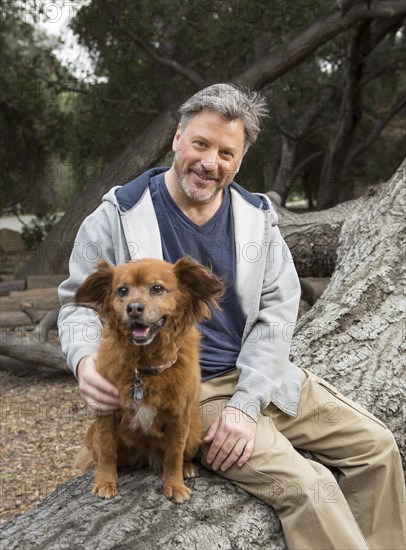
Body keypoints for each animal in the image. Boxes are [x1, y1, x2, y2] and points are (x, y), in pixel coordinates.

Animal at [74, 258, 224, 504]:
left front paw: (174, 485)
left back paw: (187, 468)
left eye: (157, 288)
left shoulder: (179, 418)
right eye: (122, 290)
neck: (144, 367)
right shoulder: (106, 412)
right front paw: (105, 481)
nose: (133, 308)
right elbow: (106, 449)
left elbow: (173, 455)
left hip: (194, 433)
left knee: (183, 454)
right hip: (91, 435)